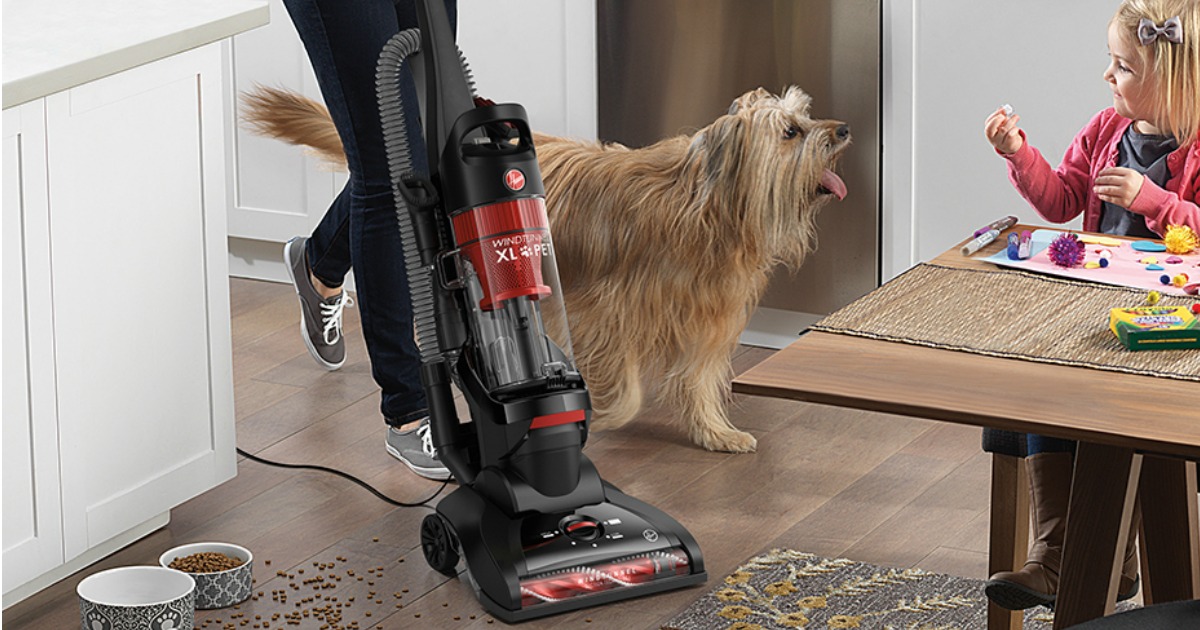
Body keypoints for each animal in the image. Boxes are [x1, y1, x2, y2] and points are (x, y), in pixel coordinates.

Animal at [243, 84, 849, 451]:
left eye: (806, 116)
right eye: (791, 132)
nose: (842, 130)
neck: (707, 204)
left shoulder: (707, 319)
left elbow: (698, 380)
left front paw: (716, 432)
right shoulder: (602, 309)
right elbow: (626, 383)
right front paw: (604, 415)